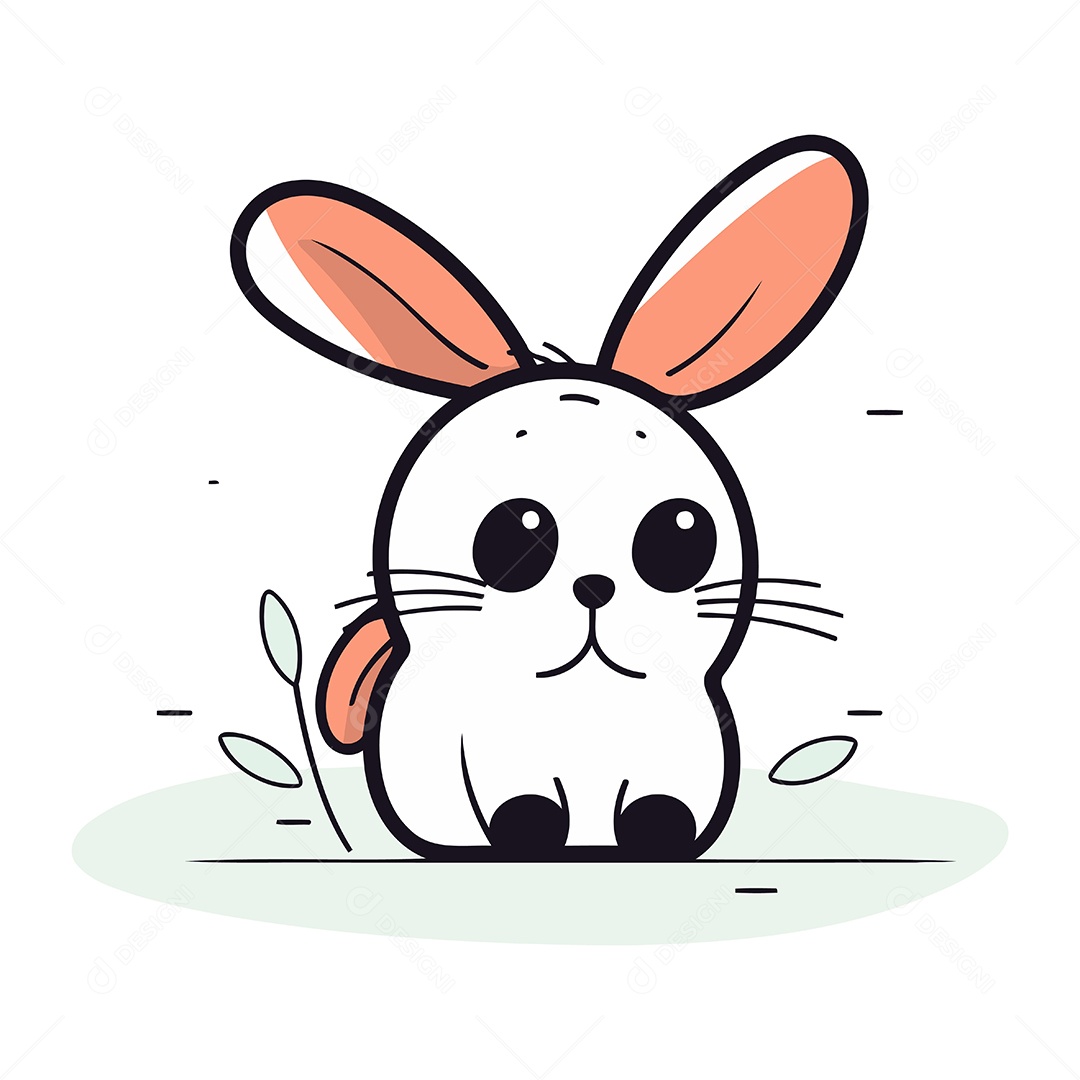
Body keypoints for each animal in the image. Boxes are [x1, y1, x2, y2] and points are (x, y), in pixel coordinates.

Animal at [230, 134, 868, 861]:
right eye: (515, 532)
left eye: (681, 533)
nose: (594, 586)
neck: (576, 699)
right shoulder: (480, 755)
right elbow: (514, 799)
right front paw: (526, 825)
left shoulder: (678, 749)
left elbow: (660, 802)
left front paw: (658, 827)